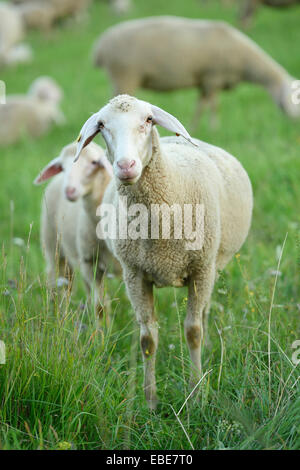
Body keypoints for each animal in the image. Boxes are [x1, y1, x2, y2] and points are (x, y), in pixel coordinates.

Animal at [34, 141, 116, 322]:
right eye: (62, 167)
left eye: (94, 162)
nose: (69, 191)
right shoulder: (90, 263)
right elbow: (100, 307)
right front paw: (103, 330)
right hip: (54, 247)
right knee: (60, 283)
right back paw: (58, 317)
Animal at [74, 93, 253, 410]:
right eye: (102, 125)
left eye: (148, 120)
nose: (126, 166)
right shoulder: (135, 274)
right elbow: (148, 339)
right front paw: (150, 400)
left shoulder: (200, 268)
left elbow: (193, 331)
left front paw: (196, 394)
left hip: (211, 266)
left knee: (204, 313)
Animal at [93, 16, 300, 129]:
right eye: (293, 96)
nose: (294, 123)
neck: (243, 61)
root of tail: (101, 45)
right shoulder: (213, 78)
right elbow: (213, 105)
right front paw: (214, 127)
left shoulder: (205, 81)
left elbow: (202, 105)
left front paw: (195, 127)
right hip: (124, 75)